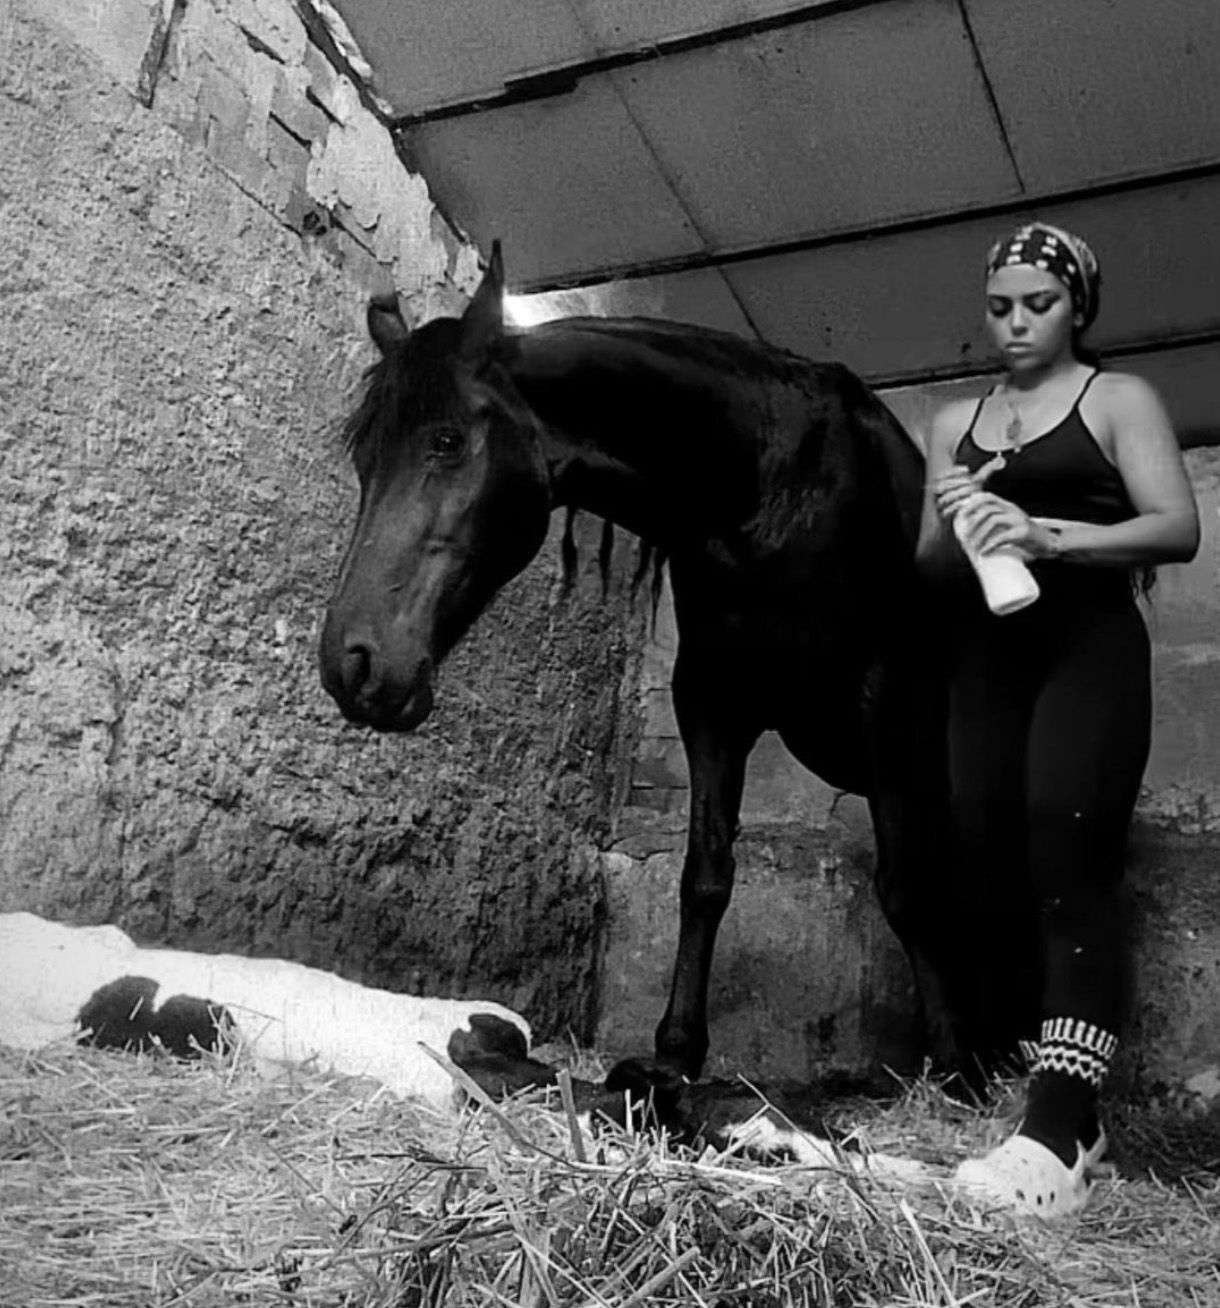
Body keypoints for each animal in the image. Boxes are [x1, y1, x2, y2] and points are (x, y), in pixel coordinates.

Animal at [321, 245, 972, 1083]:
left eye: (447, 441)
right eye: (364, 458)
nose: (354, 664)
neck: (775, 487)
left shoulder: (883, 691)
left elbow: (907, 887)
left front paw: (955, 1061)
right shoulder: (711, 703)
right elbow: (705, 876)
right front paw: (675, 1051)